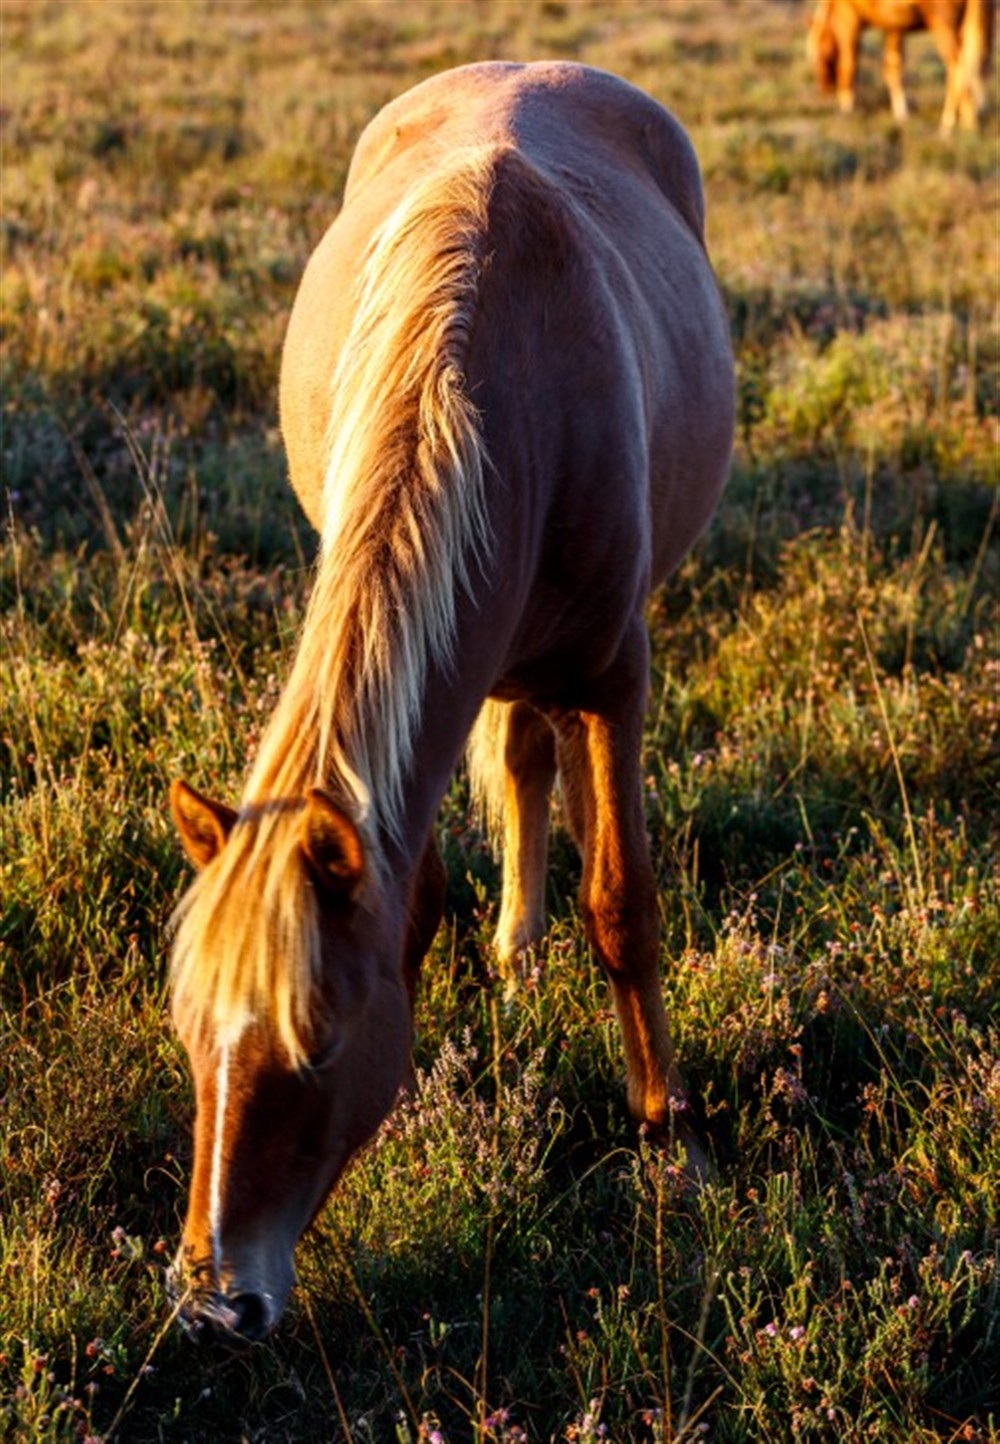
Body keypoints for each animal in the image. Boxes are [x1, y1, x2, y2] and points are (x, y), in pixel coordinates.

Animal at [165, 59, 733, 1340]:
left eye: (315, 1044)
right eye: (188, 1037)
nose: (219, 1305)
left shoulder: (615, 678)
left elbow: (624, 904)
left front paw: (668, 1131)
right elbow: (424, 883)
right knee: (518, 758)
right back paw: (516, 956)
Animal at [808, 0, 992, 127]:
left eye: (821, 55)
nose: (824, 89)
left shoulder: (848, 20)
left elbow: (848, 65)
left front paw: (846, 108)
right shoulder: (893, 28)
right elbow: (893, 69)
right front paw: (901, 114)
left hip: (944, 26)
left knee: (959, 69)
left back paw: (952, 123)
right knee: (979, 67)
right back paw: (974, 113)